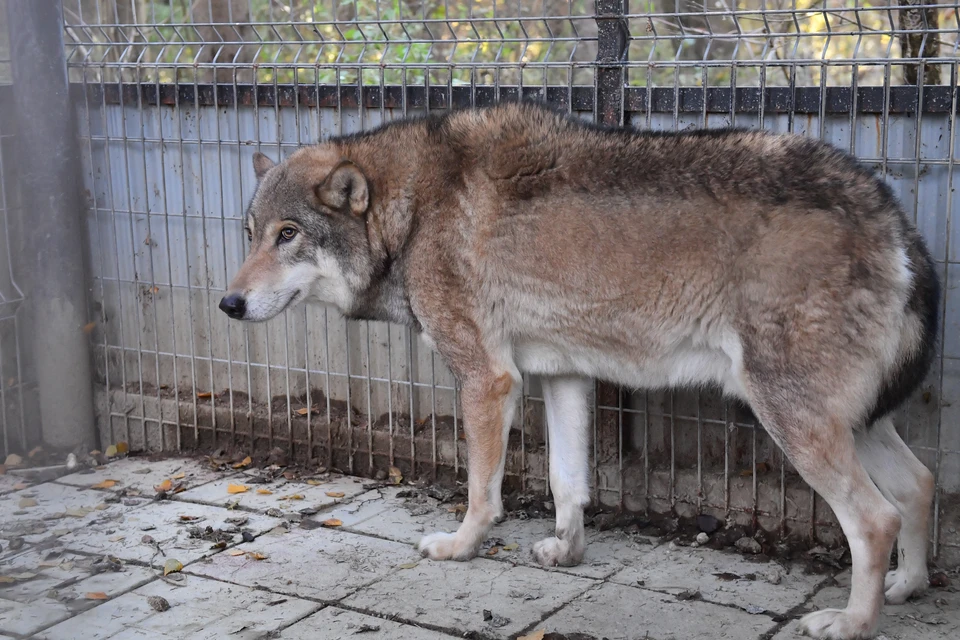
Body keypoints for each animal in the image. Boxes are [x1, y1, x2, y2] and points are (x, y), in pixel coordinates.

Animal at [219, 102, 936, 636]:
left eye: (289, 235)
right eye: (251, 234)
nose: (229, 303)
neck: (413, 211)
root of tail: (894, 217)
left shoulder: (488, 380)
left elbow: (481, 493)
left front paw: (460, 547)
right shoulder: (563, 377)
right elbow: (568, 485)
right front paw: (566, 552)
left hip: (792, 420)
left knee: (875, 520)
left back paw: (850, 622)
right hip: (854, 424)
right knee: (921, 486)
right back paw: (907, 586)